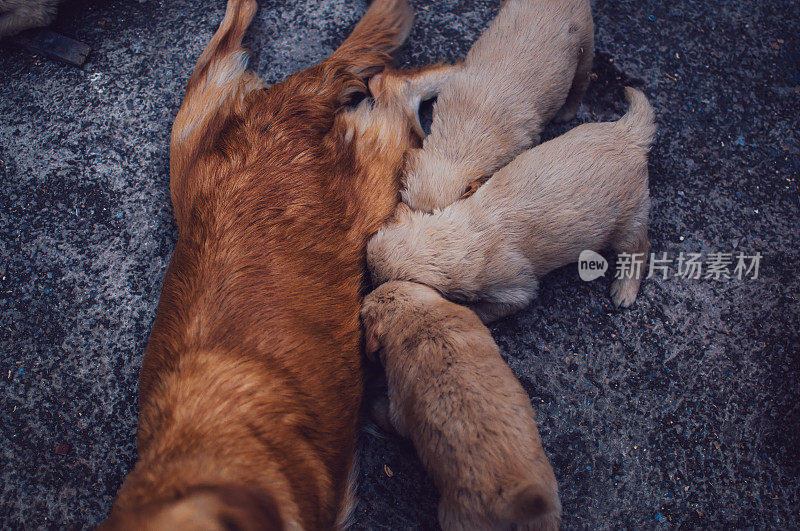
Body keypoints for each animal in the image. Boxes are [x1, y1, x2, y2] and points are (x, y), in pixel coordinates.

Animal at [368, 89, 656, 322]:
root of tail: (629, 133)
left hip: (629, 220)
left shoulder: (517, 290)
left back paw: (624, 292)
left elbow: (488, 309)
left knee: (640, 248)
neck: (454, 238)